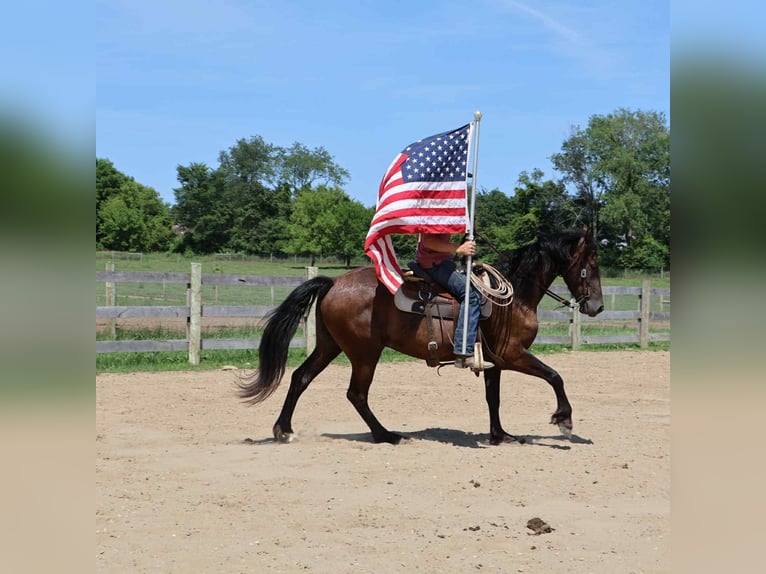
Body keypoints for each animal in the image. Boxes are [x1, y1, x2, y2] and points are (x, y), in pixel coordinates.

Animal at [239, 228, 604, 445]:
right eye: (592, 262)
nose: (597, 306)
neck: (514, 300)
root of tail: (333, 282)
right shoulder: (513, 354)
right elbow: (555, 376)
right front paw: (564, 420)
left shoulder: (495, 362)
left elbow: (493, 398)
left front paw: (501, 435)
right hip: (364, 353)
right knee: (356, 394)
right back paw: (386, 435)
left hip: (330, 346)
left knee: (300, 378)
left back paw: (283, 430)